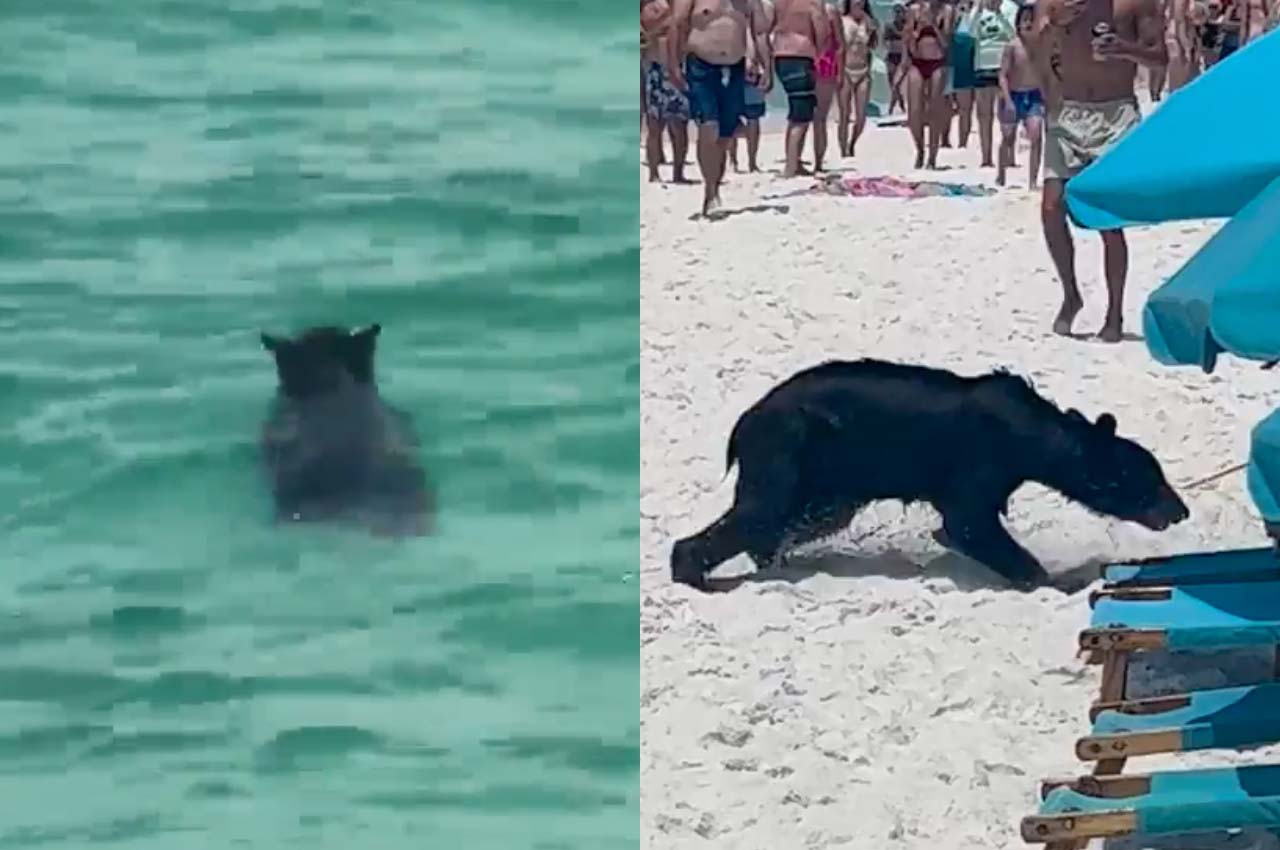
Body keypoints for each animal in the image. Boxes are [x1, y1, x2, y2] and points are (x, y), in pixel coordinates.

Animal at [670, 358, 1187, 591]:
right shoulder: (980, 461)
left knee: (794, 520)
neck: (1031, 435)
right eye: (1148, 479)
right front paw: (1053, 581)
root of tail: (744, 423)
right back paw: (693, 570)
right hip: (786, 450)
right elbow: (967, 523)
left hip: (825, 475)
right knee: (760, 514)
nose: (1180, 510)